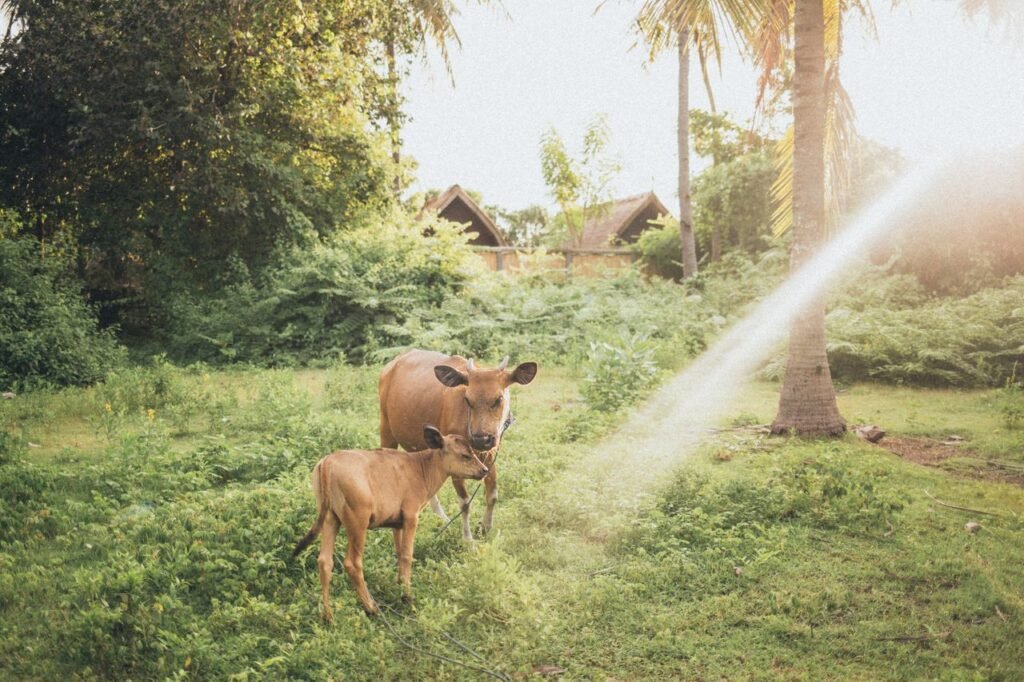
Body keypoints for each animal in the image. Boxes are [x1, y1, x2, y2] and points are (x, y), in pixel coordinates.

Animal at [292, 425, 489, 620]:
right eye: (465, 455)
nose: (485, 469)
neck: (421, 468)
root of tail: (328, 462)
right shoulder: (411, 516)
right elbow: (407, 555)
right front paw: (407, 596)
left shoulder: (397, 523)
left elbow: (399, 553)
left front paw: (400, 584)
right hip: (357, 522)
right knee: (352, 563)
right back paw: (371, 608)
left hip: (330, 519)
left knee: (325, 561)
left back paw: (328, 616)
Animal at [378, 349, 538, 540]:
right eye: (467, 399)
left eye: (498, 399)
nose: (481, 439)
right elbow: (465, 503)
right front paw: (468, 540)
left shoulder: (491, 454)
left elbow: (492, 495)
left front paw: (485, 528)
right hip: (386, 429)